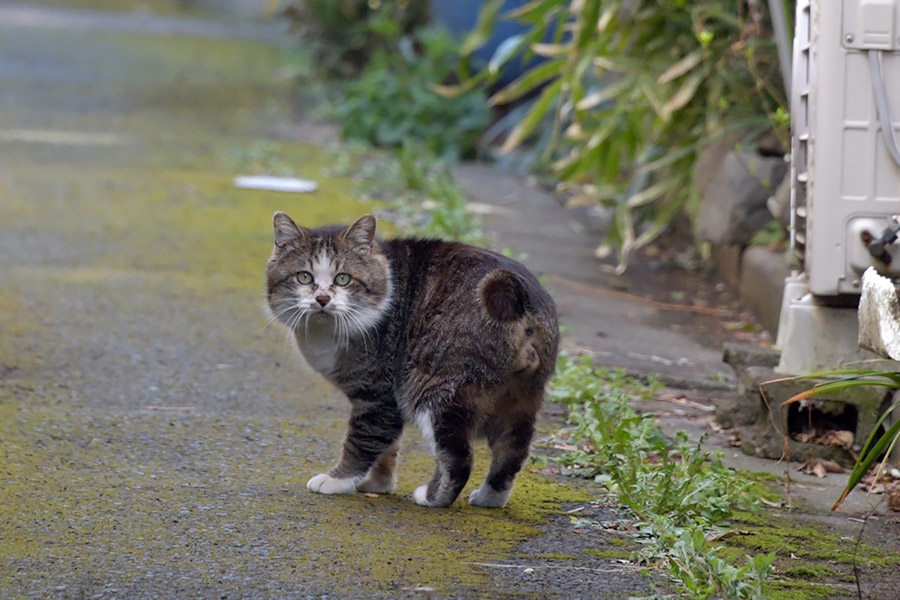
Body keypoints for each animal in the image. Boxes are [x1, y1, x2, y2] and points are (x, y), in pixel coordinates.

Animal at [264, 211, 560, 506]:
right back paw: (489, 499)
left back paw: (430, 498)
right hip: (521, 399)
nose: (323, 299)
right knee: (512, 451)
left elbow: (363, 440)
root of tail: (515, 292)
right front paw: (379, 484)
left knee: (458, 460)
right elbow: (388, 445)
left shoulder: (378, 394)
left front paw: (338, 480)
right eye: (304, 277)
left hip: (437, 391)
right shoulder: (389, 402)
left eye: (343, 279)